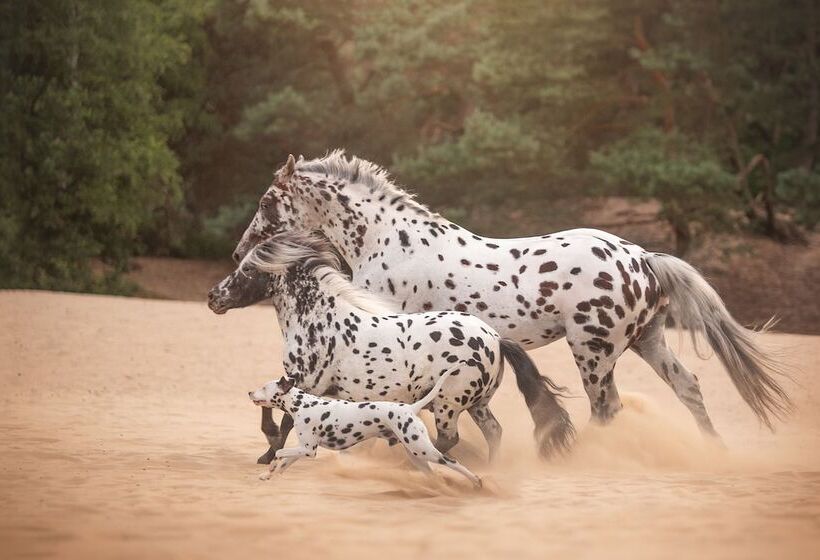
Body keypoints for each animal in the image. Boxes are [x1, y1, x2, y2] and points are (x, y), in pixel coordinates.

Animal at [209, 230, 574, 464]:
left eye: (247, 270)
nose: (214, 297)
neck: (318, 318)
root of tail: (495, 338)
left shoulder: (306, 381)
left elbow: (280, 415)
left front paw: (267, 453)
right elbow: (269, 403)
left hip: (447, 403)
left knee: (449, 438)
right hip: (476, 403)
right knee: (494, 432)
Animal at [231, 150, 791, 449]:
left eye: (267, 201)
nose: (239, 251)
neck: (390, 240)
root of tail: (642, 258)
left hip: (593, 352)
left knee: (606, 406)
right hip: (647, 341)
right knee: (689, 388)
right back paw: (714, 449)